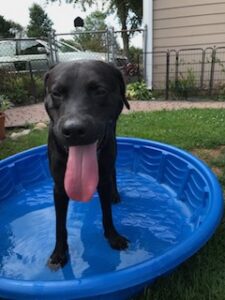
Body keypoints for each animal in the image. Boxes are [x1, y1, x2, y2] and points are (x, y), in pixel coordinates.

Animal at [44, 59, 130, 268]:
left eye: (99, 90)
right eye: (57, 93)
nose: (74, 130)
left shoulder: (103, 178)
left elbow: (107, 212)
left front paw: (112, 236)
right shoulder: (59, 187)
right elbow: (60, 225)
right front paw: (59, 252)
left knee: (113, 172)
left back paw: (115, 194)